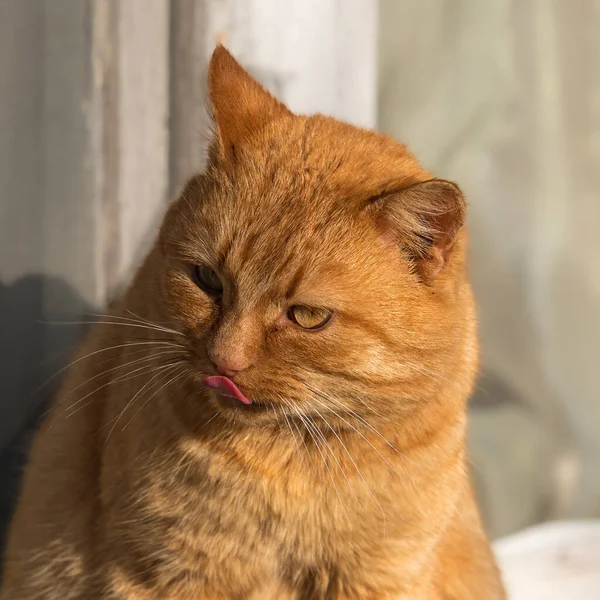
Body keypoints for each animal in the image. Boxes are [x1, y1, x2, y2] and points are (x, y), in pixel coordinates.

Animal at [1, 48, 506, 600]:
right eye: (207, 280)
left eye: (308, 317)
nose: (225, 359)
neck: (287, 466)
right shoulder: (170, 574)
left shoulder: (380, 576)